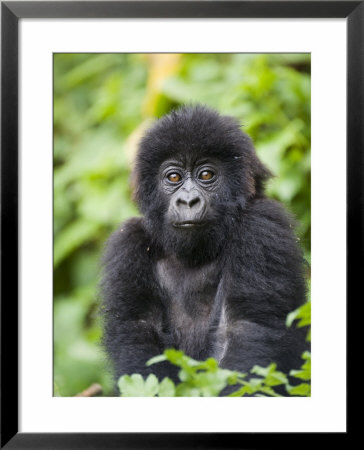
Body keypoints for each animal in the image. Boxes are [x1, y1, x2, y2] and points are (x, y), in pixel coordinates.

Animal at [101, 105, 308, 394]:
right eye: (173, 177)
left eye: (206, 175)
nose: (188, 201)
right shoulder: (127, 242)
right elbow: (137, 333)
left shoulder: (261, 226)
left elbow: (244, 329)